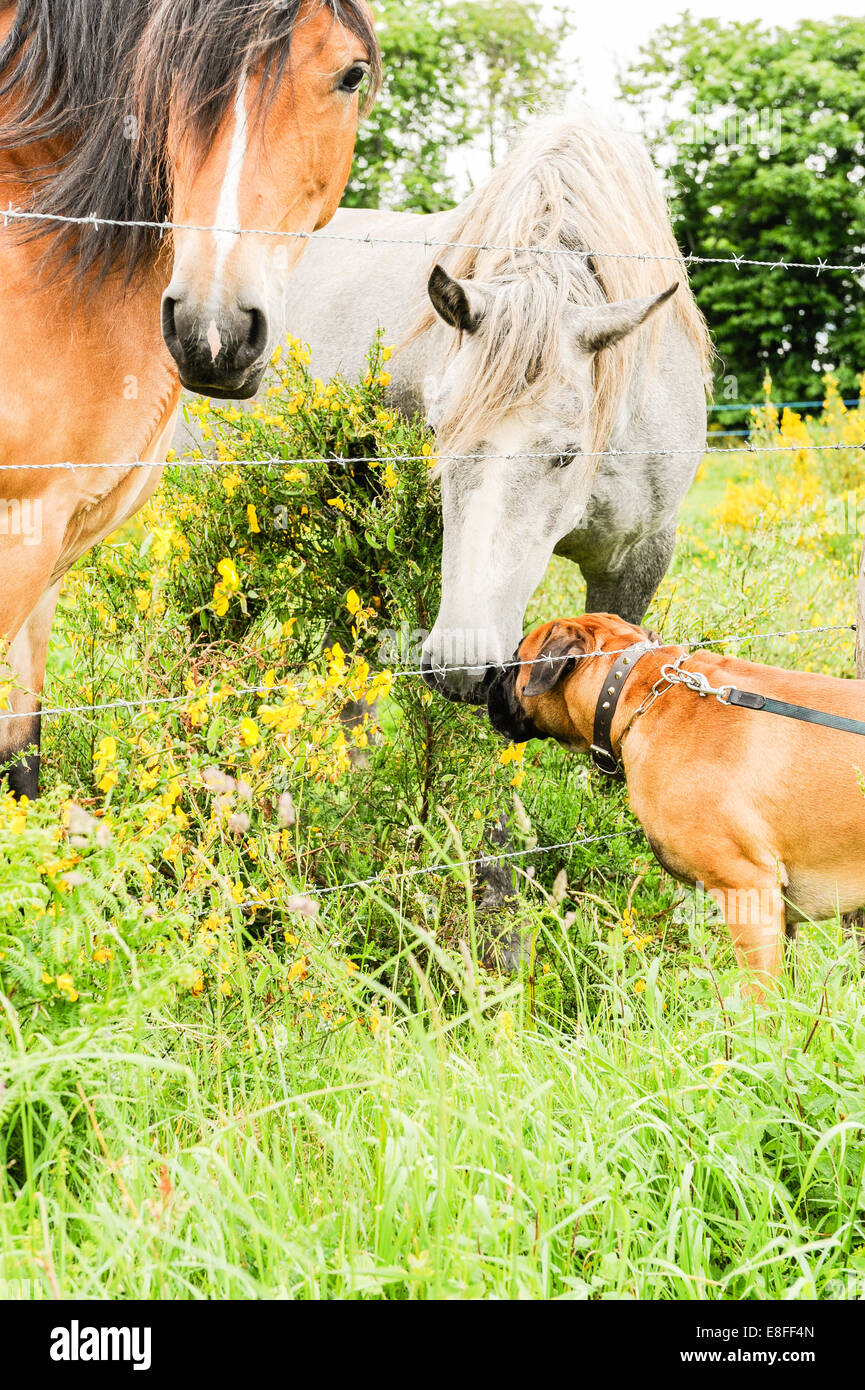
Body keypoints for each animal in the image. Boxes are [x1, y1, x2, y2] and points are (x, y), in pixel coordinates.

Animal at [0, 0, 379, 796]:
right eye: (168, 72)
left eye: (351, 74)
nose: (214, 329)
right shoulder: (18, 530)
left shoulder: (46, 544)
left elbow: (22, 766)